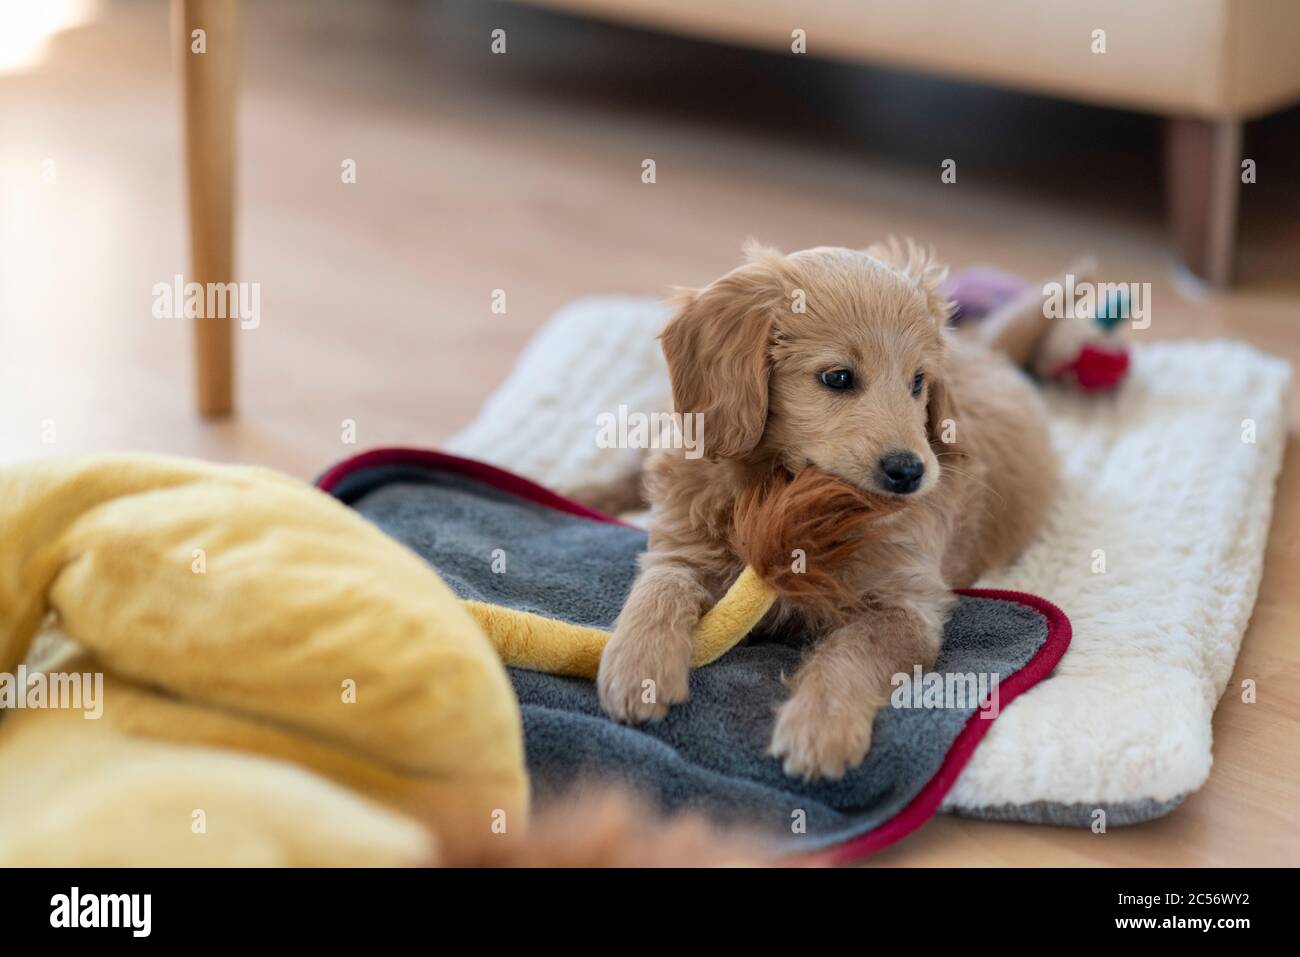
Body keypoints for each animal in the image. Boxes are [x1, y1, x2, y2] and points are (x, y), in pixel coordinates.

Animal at [595, 237, 1055, 780]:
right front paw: (638, 666)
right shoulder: (681, 547)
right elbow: (658, 588)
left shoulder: (907, 606)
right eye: (838, 377)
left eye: (918, 382)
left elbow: (851, 653)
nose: (910, 472)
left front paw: (821, 725)